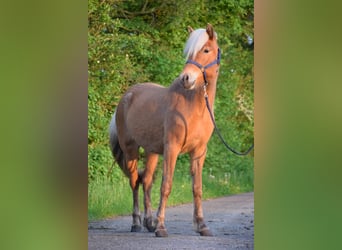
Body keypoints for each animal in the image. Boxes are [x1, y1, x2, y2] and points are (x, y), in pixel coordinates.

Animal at [110, 23, 222, 238]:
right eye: (189, 51)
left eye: (206, 50)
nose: (186, 78)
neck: (194, 108)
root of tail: (127, 96)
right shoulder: (172, 148)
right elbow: (166, 186)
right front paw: (161, 227)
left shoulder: (199, 152)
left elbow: (197, 188)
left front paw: (202, 226)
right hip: (131, 151)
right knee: (135, 182)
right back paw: (137, 223)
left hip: (152, 152)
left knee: (146, 181)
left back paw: (148, 222)